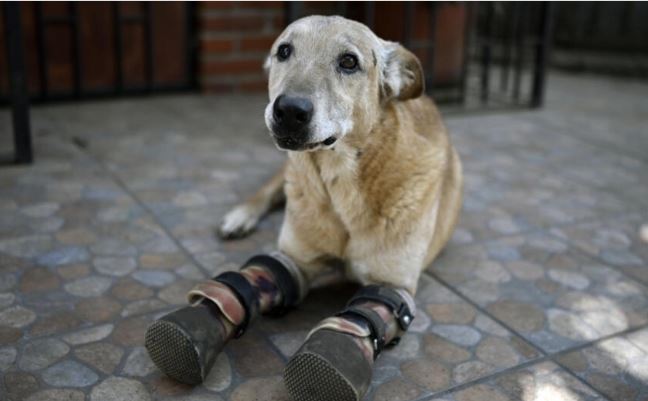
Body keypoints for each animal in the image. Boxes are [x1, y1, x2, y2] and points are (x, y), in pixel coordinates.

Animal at [220, 15, 464, 296]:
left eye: (349, 61)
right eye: (283, 51)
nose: (289, 110)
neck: (337, 182)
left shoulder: (391, 284)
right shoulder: (294, 261)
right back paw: (239, 217)